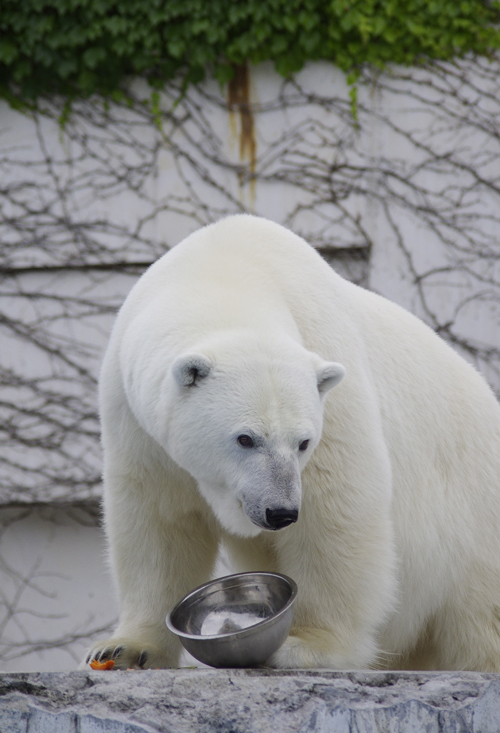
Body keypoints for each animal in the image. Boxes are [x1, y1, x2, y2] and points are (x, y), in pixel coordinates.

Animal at [84, 212, 500, 668]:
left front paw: (307, 644)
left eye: (303, 442)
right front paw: (126, 648)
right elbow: (159, 519)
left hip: (474, 518)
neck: (225, 272)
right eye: (245, 438)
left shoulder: (330, 383)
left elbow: (334, 508)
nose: (280, 512)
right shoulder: (137, 421)